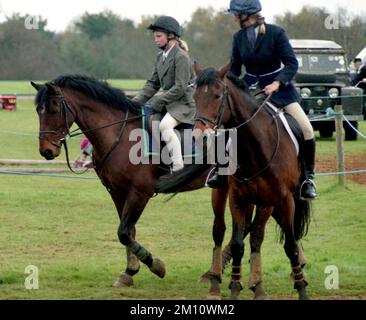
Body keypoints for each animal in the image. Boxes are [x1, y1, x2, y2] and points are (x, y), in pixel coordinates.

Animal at [155, 67, 312, 300]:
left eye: (217, 96)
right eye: (195, 97)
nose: (199, 135)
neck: (256, 146)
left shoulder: (279, 200)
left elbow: (282, 242)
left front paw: (298, 288)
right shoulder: (238, 198)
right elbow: (239, 243)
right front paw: (236, 287)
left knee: (256, 233)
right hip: (222, 194)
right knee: (219, 231)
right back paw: (214, 281)